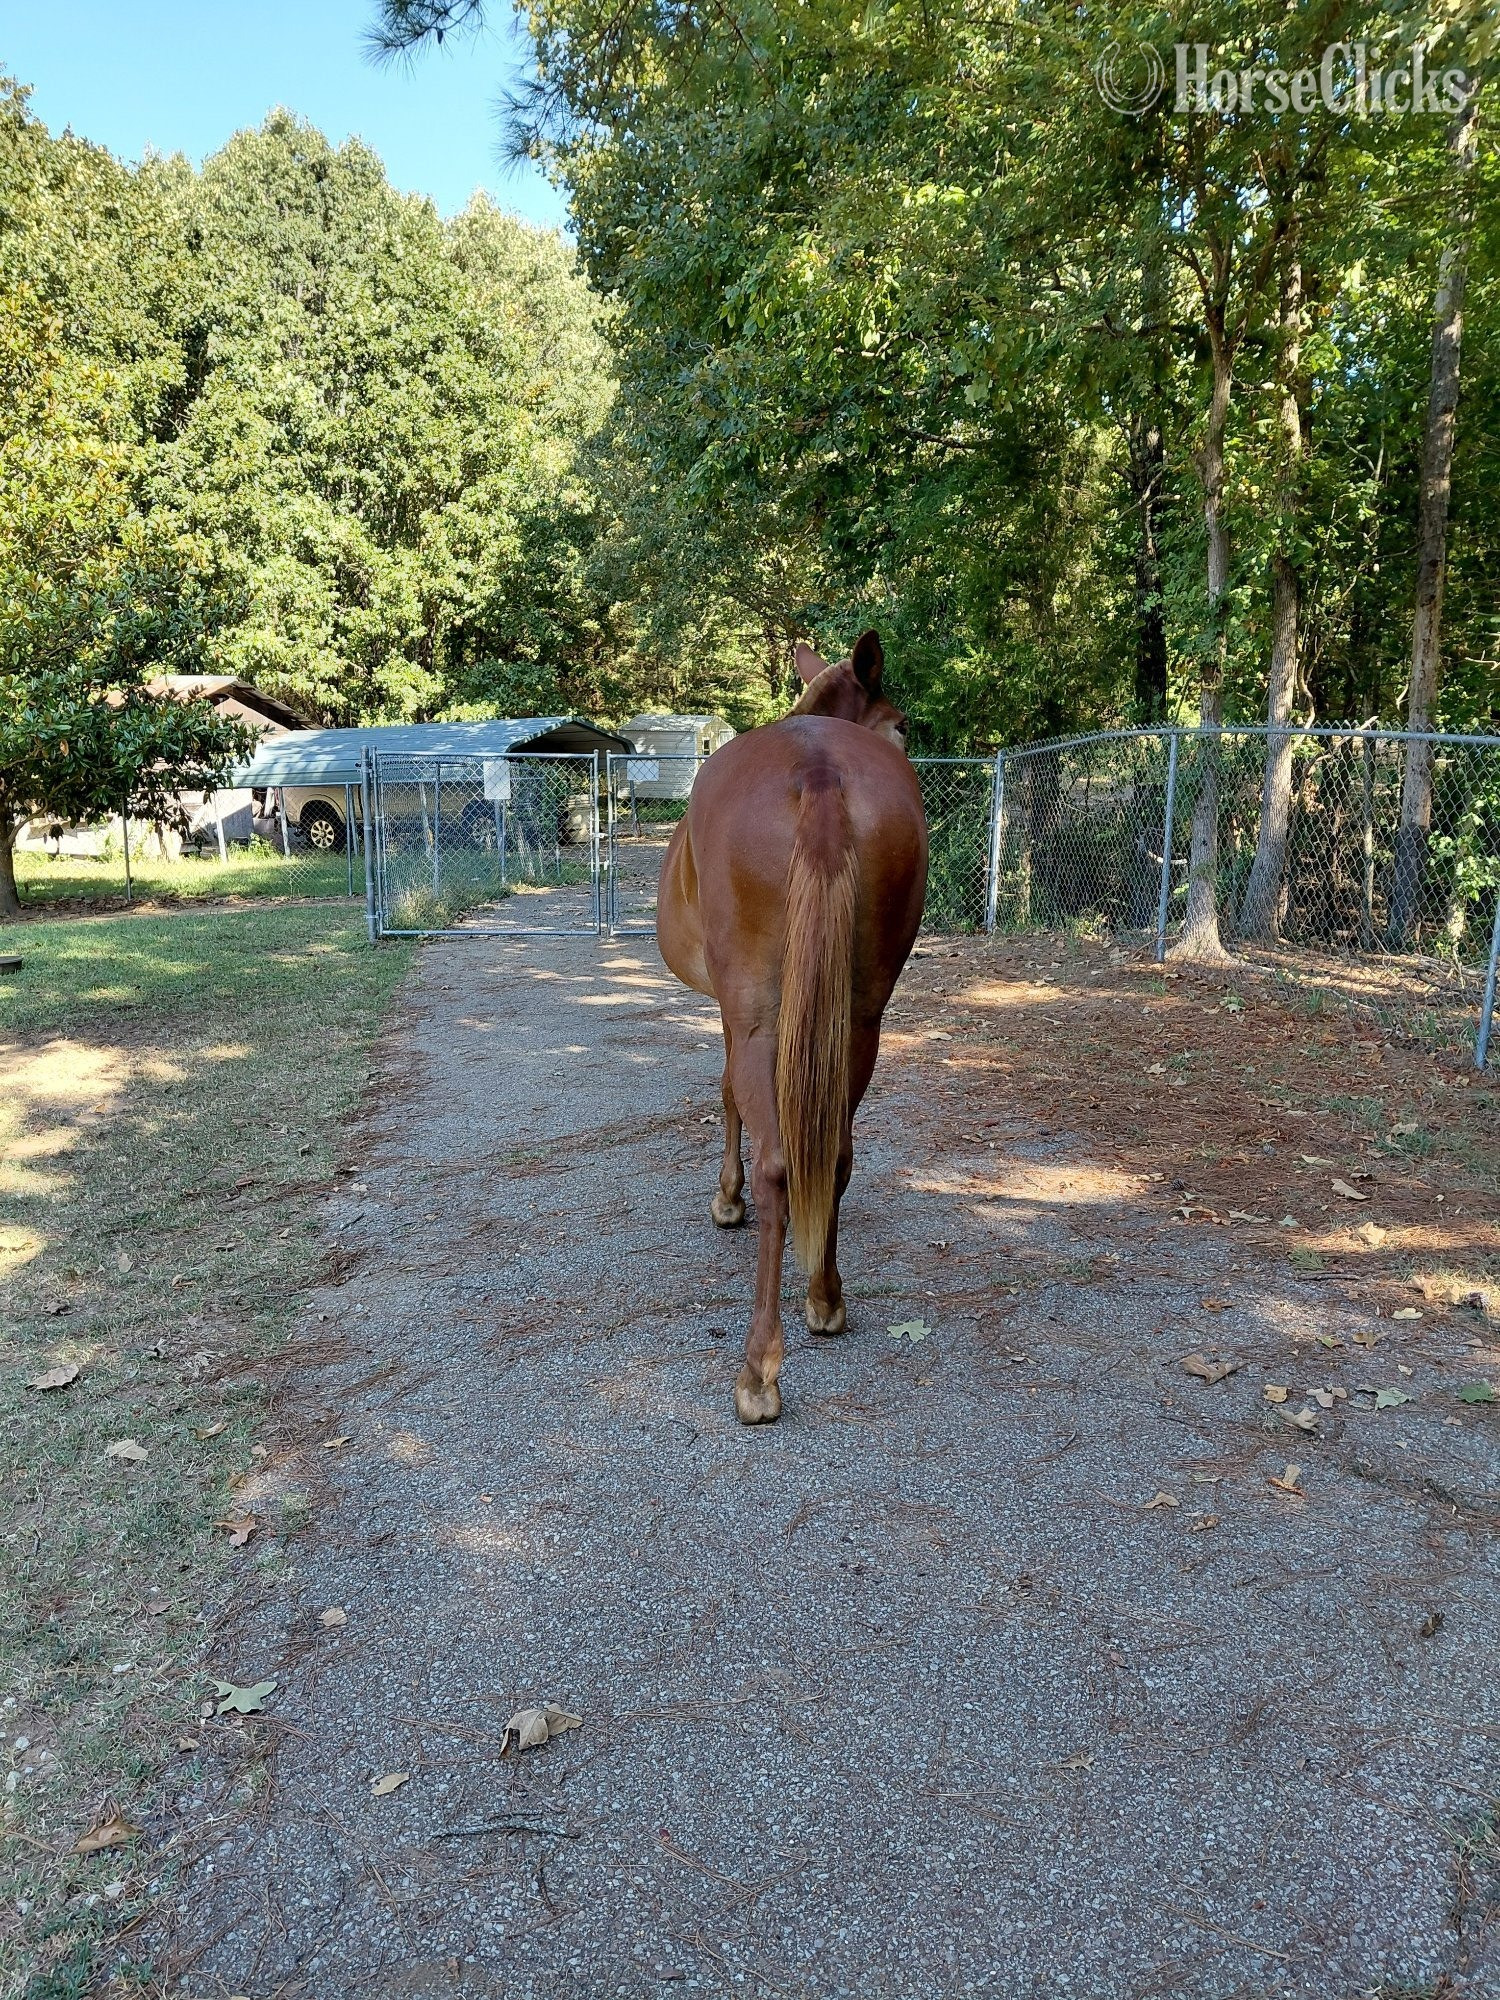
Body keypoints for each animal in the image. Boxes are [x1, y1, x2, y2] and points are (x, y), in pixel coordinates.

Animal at [657, 630, 929, 1424]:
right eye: (902, 724)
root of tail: (817, 769)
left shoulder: (732, 1013)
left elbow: (724, 1095)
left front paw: (727, 1198)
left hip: (757, 1015)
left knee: (782, 1161)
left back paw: (759, 1371)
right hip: (859, 1020)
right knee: (832, 1151)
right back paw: (825, 1299)